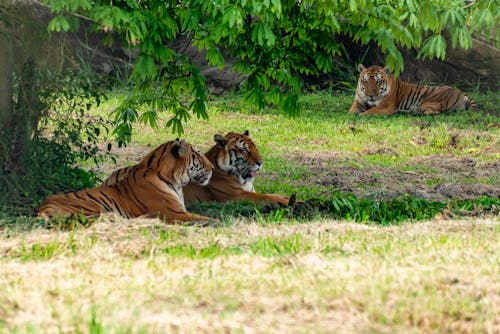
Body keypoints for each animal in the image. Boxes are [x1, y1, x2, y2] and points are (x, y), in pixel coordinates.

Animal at [35, 138, 215, 224]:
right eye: (199, 155)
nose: (213, 168)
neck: (176, 181)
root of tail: (41, 208)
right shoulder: (174, 213)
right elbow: (207, 219)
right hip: (94, 209)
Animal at [103, 130, 294, 206]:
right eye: (244, 150)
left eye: (255, 147)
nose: (261, 162)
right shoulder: (237, 195)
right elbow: (267, 197)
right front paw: (287, 201)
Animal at [348, 64, 476, 116]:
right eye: (365, 81)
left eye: (378, 81)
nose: (371, 95)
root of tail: (462, 93)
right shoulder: (359, 101)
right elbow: (352, 110)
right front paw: (351, 114)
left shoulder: (385, 106)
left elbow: (371, 111)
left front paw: (362, 114)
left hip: (429, 102)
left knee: (434, 113)